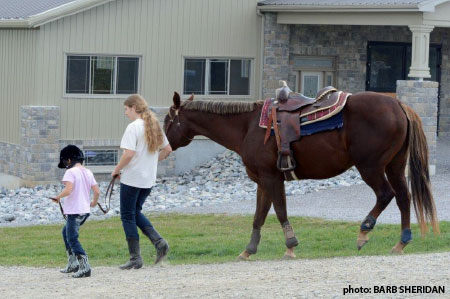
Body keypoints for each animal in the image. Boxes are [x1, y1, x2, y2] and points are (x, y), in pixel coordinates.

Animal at [163, 91, 438, 260]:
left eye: (167, 121)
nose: (162, 147)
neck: (248, 126)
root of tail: (399, 105)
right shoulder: (262, 181)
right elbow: (259, 216)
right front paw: (248, 250)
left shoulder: (272, 178)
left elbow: (280, 211)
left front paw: (290, 246)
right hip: (395, 165)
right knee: (403, 196)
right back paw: (401, 242)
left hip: (370, 166)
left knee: (385, 194)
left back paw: (364, 231)